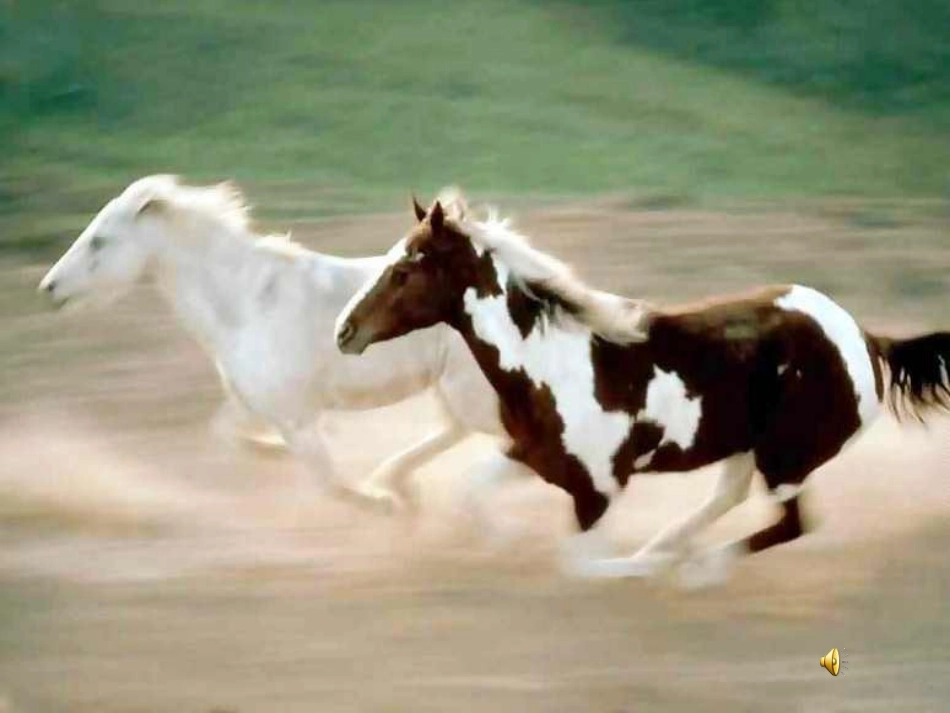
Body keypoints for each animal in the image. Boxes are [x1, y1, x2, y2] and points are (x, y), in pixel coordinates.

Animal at [37, 175, 521, 521]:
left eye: (99, 240)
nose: (50, 288)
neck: (244, 305)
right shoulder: (253, 402)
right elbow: (228, 435)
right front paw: (275, 452)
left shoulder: (295, 414)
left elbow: (326, 479)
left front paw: (382, 505)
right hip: (455, 389)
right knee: (457, 430)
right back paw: (398, 482)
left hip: (470, 391)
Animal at [334, 191, 950, 585]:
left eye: (405, 270)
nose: (345, 331)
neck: (550, 364)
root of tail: (868, 340)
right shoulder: (533, 456)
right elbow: (471, 492)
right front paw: (497, 544)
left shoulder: (599, 489)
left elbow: (578, 564)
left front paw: (634, 570)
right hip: (747, 447)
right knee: (728, 499)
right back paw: (671, 550)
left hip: (786, 456)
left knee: (791, 524)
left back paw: (693, 568)